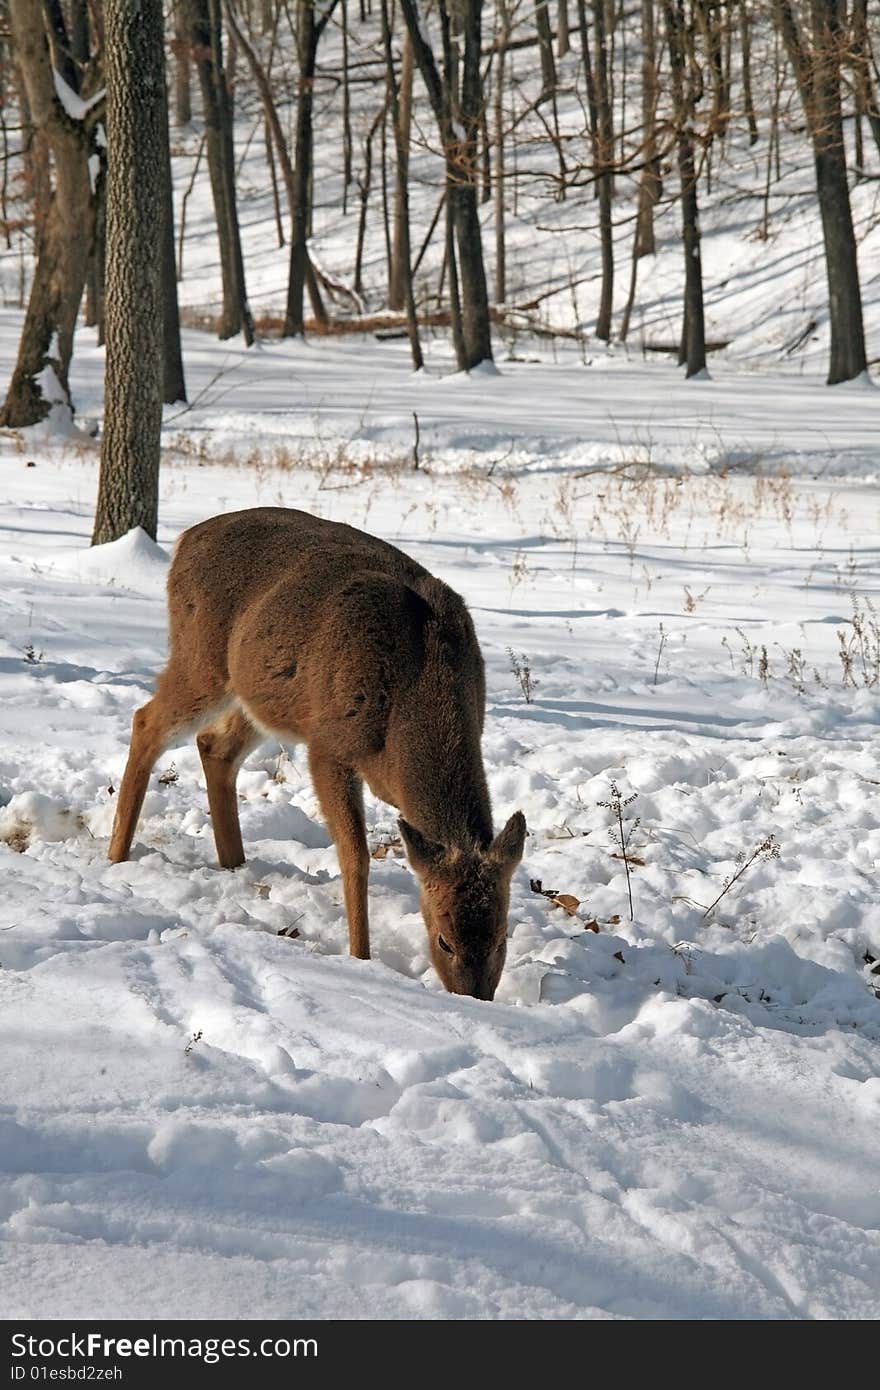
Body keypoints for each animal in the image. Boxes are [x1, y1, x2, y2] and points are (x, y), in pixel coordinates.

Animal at [107, 508, 525, 1000]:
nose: (476, 998)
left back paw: (234, 864)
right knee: (146, 721)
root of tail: (188, 538)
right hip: (201, 659)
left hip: (259, 693)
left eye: (501, 937)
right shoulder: (327, 745)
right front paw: (360, 958)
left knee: (214, 746)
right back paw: (115, 856)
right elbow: (355, 856)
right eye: (444, 940)